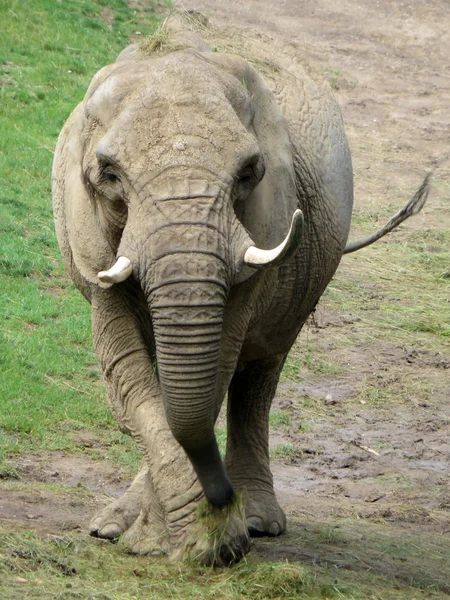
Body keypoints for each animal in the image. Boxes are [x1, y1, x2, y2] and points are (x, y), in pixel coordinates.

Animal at [51, 14, 428, 568]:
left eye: (249, 173)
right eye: (110, 175)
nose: (221, 500)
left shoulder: (265, 222)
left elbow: (215, 368)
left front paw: (201, 540)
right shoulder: (91, 239)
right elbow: (128, 369)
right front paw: (161, 538)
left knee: (259, 373)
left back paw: (258, 521)